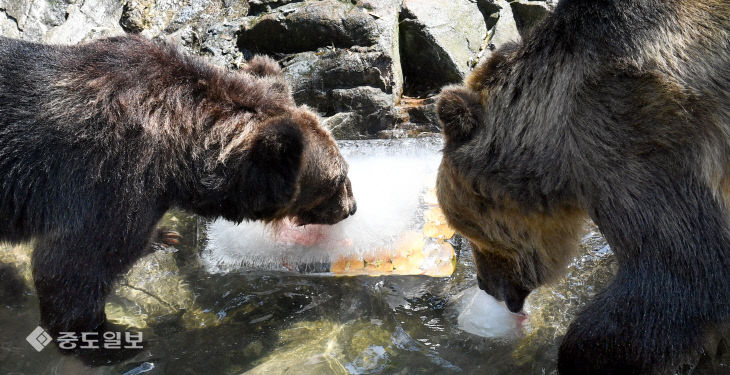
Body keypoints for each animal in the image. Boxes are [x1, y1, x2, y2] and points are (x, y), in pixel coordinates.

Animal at [0, 36, 356, 338]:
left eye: (344, 173)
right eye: (338, 180)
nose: (351, 208)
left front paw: (163, 236)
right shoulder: (108, 181)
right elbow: (72, 267)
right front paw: (110, 338)